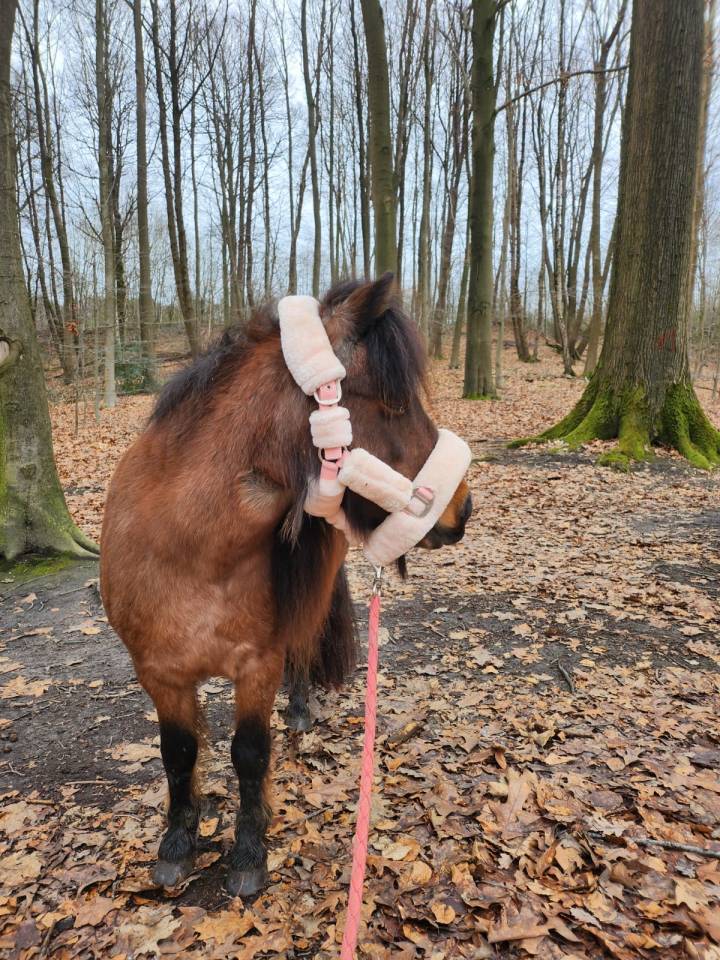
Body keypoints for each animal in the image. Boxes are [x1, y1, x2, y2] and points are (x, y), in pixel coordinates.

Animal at [100, 274, 472, 897]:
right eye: (394, 404)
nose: (463, 509)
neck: (188, 546)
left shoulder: (257, 665)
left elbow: (250, 753)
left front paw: (248, 853)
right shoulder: (158, 671)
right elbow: (178, 752)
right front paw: (178, 841)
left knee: (304, 644)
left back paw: (299, 708)